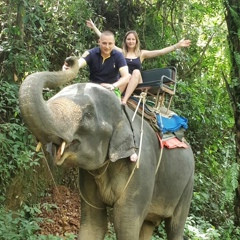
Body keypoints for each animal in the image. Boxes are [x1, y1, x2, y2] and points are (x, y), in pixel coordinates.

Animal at [19, 56, 195, 240]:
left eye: (88, 115)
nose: (69, 60)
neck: (124, 113)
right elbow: (93, 225)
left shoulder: (142, 167)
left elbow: (125, 225)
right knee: (148, 224)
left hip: (188, 185)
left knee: (175, 227)